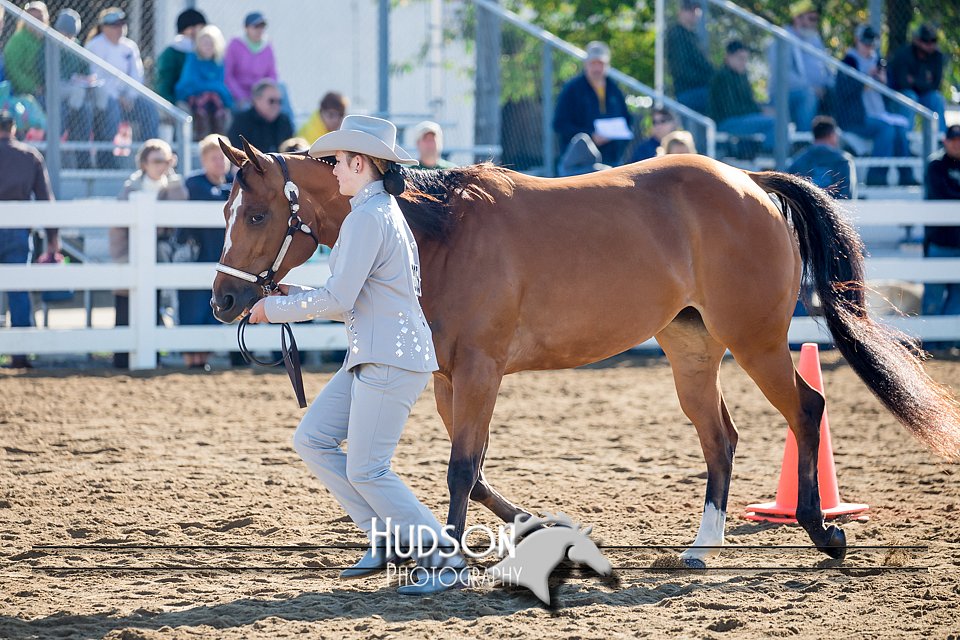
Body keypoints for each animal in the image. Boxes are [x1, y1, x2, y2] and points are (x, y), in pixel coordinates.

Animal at [212, 139, 960, 564]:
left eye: (257, 214)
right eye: (226, 212)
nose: (223, 301)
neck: (439, 231)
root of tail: (751, 181)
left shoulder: (480, 371)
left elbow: (460, 470)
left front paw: (453, 557)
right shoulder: (448, 377)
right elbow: (473, 472)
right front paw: (532, 525)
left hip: (757, 339)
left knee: (805, 410)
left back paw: (823, 533)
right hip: (692, 349)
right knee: (720, 437)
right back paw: (700, 547)